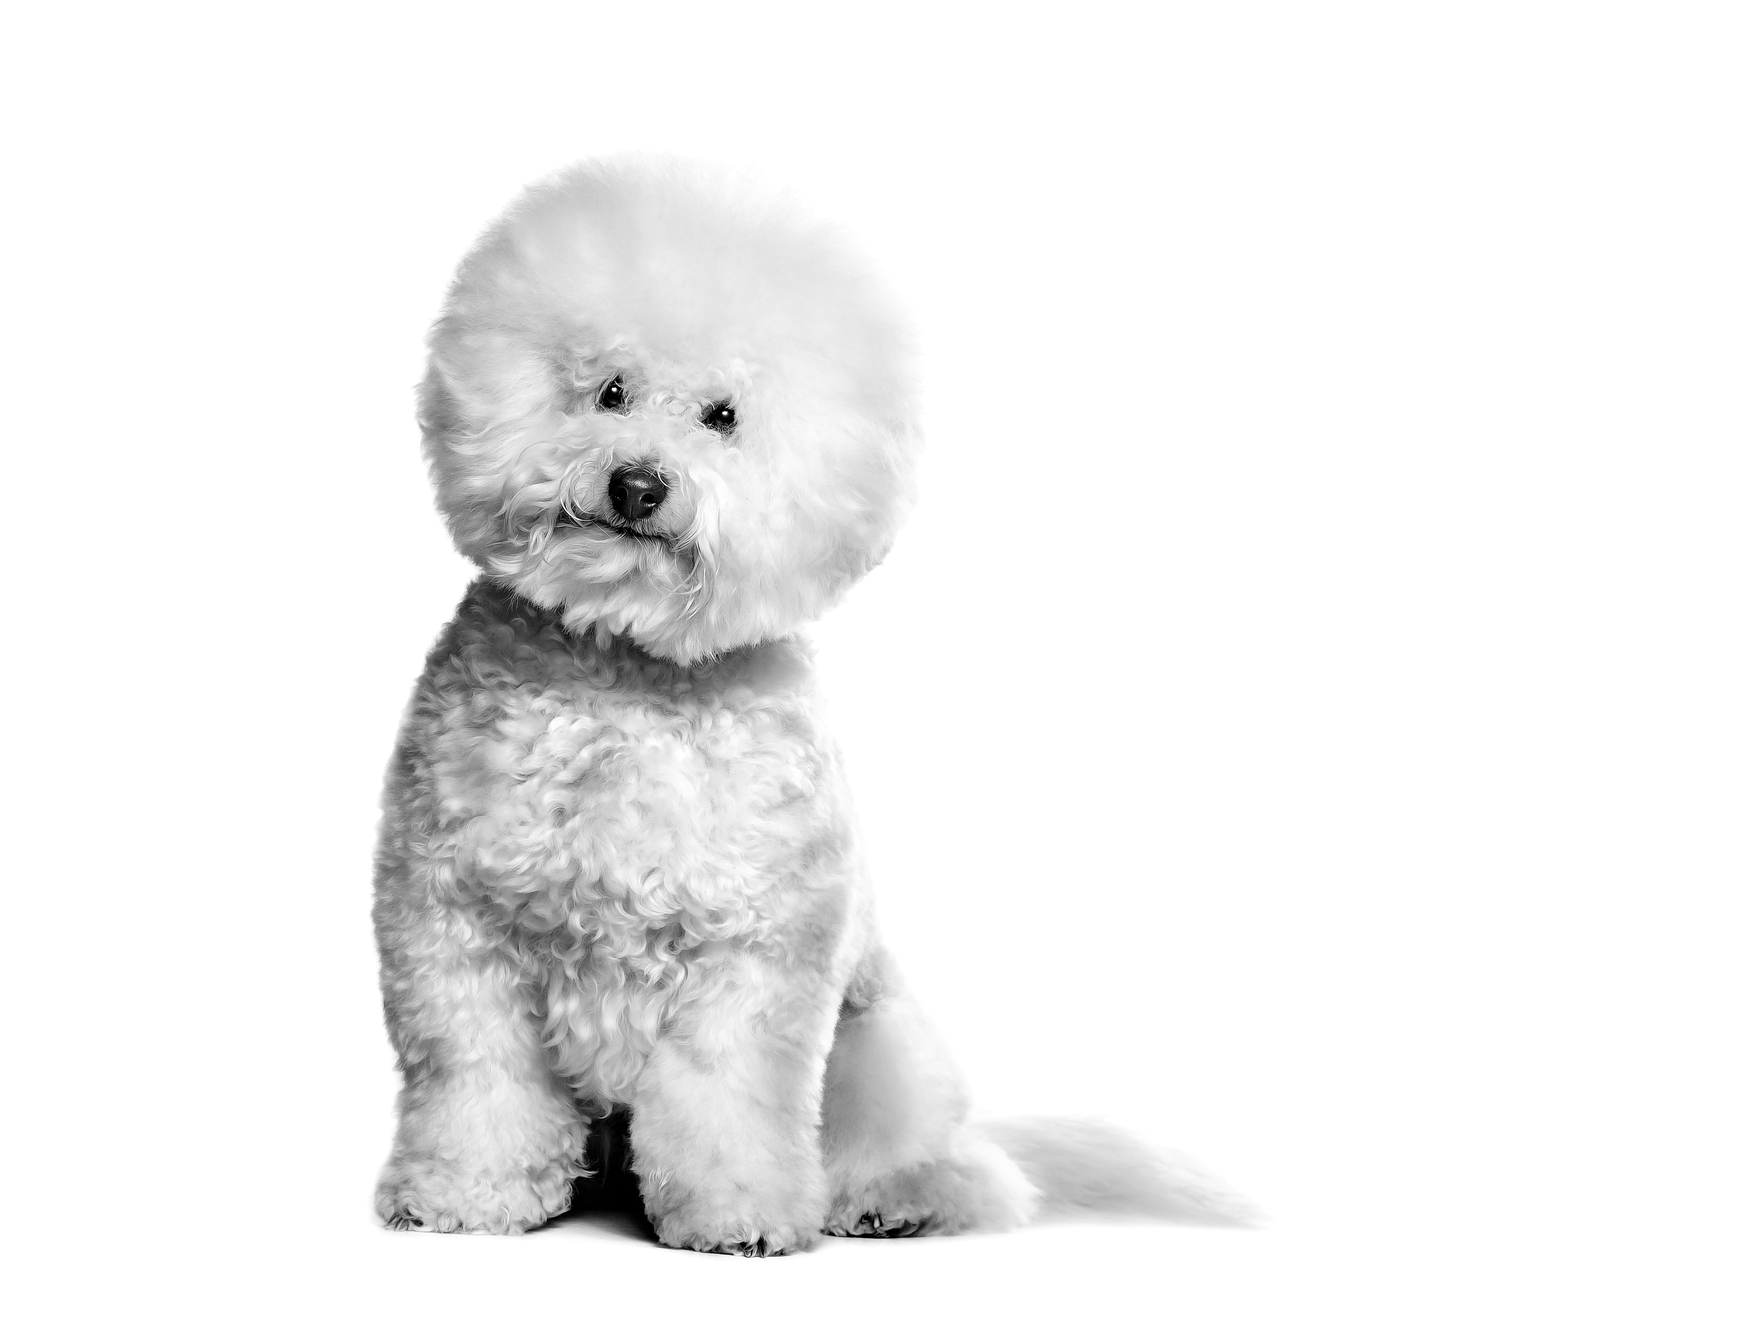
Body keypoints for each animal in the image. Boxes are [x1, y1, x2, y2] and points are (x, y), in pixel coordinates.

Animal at [376, 160, 1246, 1253]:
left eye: (722, 416)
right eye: (609, 390)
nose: (637, 484)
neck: (627, 666)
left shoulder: (752, 955)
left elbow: (727, 1099)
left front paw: (740, 1213)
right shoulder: (452, 928)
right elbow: (475, 1081)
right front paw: (464, 1193)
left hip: (884, 1043)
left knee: (949, 1160)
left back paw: (896, 1196)